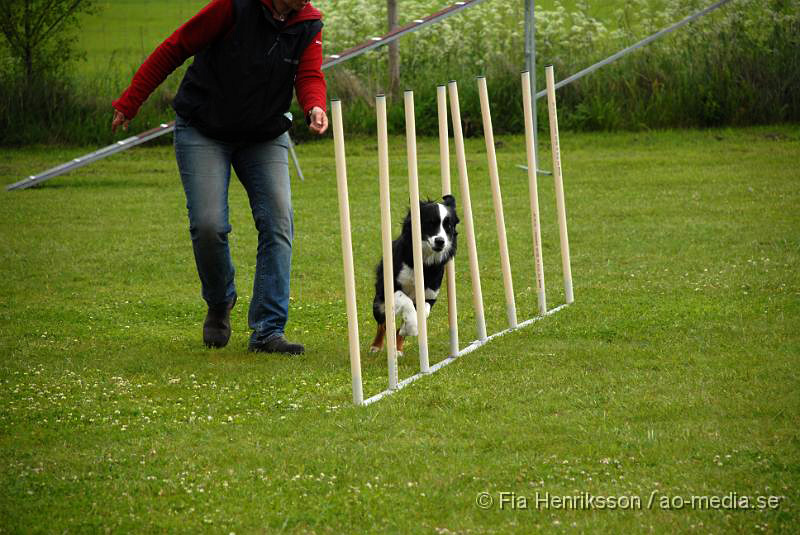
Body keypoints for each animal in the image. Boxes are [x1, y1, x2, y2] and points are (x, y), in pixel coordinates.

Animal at [372, 194, 460, 356]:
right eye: (430, 223)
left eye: (448, 226)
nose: (440, 241)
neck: (424, 263)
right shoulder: (391, 287)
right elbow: (406, 301)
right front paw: (411, 327)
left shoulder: (430, 295)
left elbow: (423, 312)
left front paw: (408, 328)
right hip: (379, 303)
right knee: (383, 324)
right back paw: (376, 346)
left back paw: (398, 348)